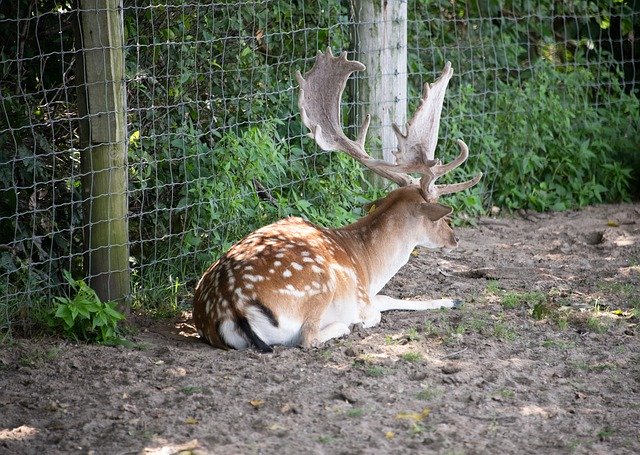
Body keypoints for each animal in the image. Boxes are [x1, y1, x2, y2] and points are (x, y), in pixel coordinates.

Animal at [192, 48, 482, 352]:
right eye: (443, 217)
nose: (455, 238)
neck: (367, 266)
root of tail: (231, 307)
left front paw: (453, 300)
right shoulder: (363, 299)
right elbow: (381, 305)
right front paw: (452, 299)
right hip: (319, 288)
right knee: (308, 337)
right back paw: (346, 326)